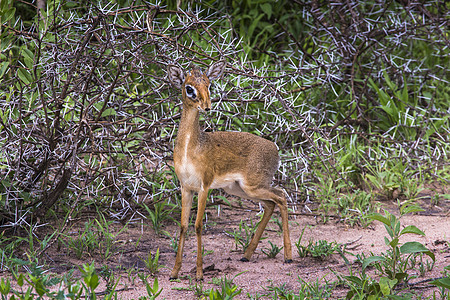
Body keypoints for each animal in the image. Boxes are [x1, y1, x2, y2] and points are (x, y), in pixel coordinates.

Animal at [167, 59, 294, 280]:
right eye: (189, 88)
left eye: (209, 84)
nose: (207, 106)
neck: (190, 149)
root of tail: (275, 148)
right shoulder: (186, 188)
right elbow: (183, 226)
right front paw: (174, 272)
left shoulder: (204, 187)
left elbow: (198, 226)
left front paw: (199, 273)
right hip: (239, 189)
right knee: (271, 204)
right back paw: (246, 255)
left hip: (253, 186)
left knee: (281, 196)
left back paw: (288, 257)